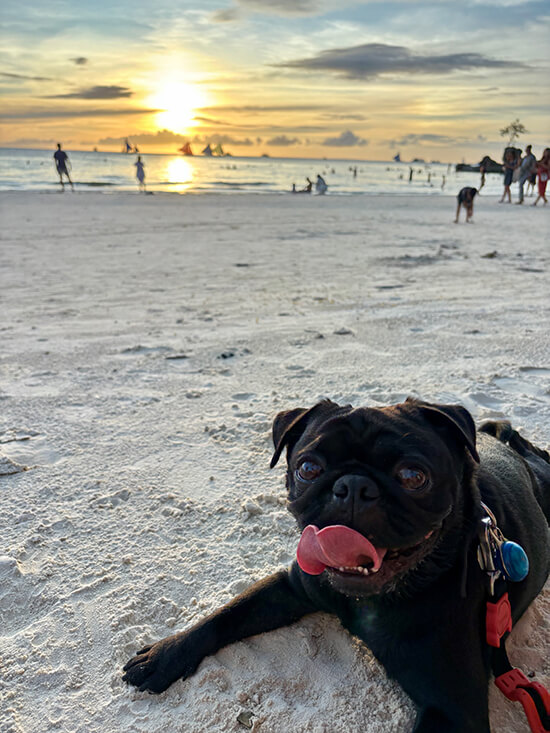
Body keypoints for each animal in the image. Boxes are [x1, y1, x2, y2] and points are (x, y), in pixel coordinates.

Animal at [123, 398, 550, 732]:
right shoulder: (290, 588)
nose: (353, 487)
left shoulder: (453, 711)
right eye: (307, 469)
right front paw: (163, 655)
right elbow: (227, 614)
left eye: (413, 476)